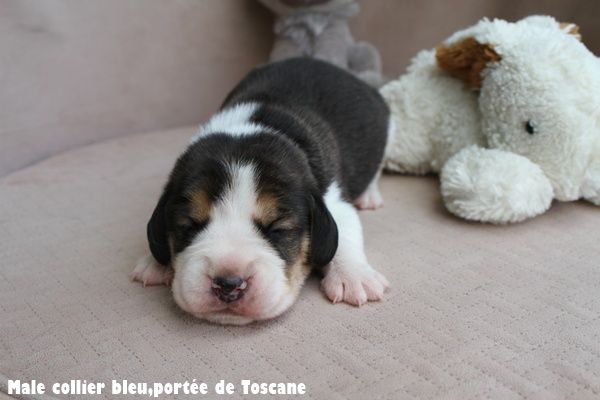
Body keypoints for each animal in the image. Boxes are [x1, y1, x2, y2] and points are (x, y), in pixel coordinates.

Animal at [132, 57, 391, 325]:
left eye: (278, 229)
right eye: (189, 225)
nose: (228, 284)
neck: (250, 129)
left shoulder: (333, 198)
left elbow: (345, 233)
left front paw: (354, 276)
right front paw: (155, 263)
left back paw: (369, 196)